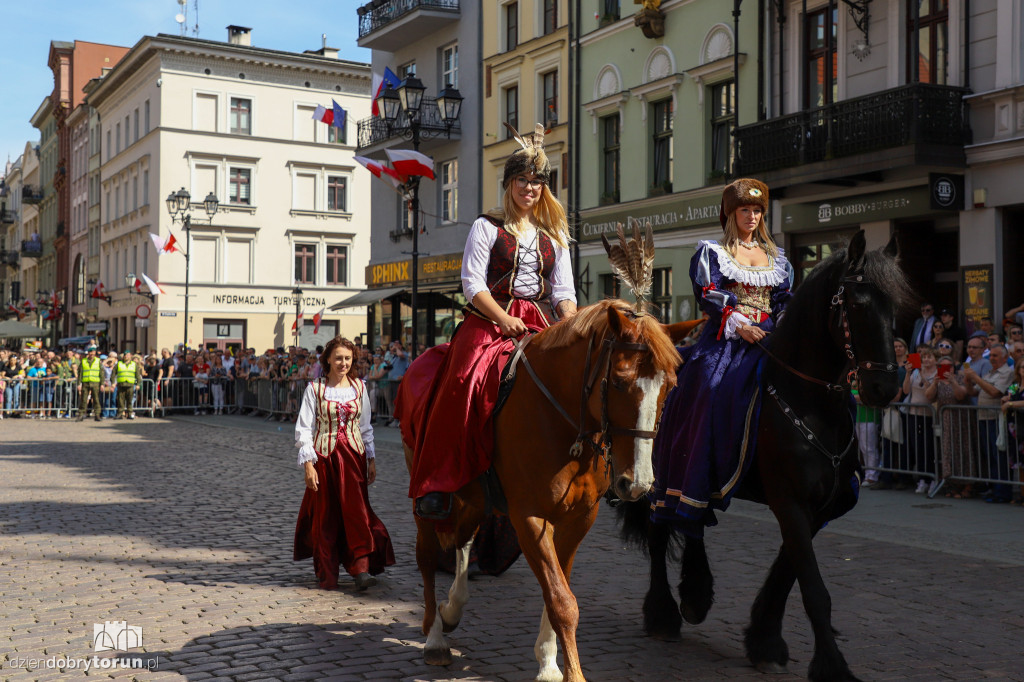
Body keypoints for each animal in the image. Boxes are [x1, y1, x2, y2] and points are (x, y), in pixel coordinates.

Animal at [399, 301, 696, 679]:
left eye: (670, 386)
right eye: (618, 381)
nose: (638, 482)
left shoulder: (578, 519)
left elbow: (556, 591)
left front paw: (548, 661)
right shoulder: (530, 518)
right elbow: (562, 601)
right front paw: (570, 672)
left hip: (475, 497)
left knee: (463, 540)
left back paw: (452, 609)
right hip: (426, 487)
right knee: (426, 554)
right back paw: (435, 637)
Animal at [618, 232, 909, 679]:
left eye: (893, 306)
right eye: (858, 304)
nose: (884, 388)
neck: (807, 401)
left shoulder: (818, 509)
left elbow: (787, 574)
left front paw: (765, 639)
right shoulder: (789, 502)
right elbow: (813, 587)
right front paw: (831, 665)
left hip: (696, 479)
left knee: (692, 520)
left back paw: (696, 595)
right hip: (661, 479)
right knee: (659, 530)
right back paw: (663, 613)